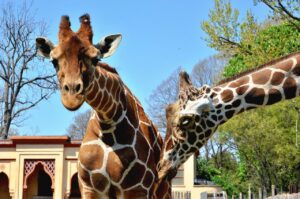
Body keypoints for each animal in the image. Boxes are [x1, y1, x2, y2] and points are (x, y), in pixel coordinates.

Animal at [35, 14, 171, 199]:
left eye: (95, 59)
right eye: (54, 61)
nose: (72, 97)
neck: (109, 126)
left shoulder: (138, 189)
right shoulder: (90, 188)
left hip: (164, 190)